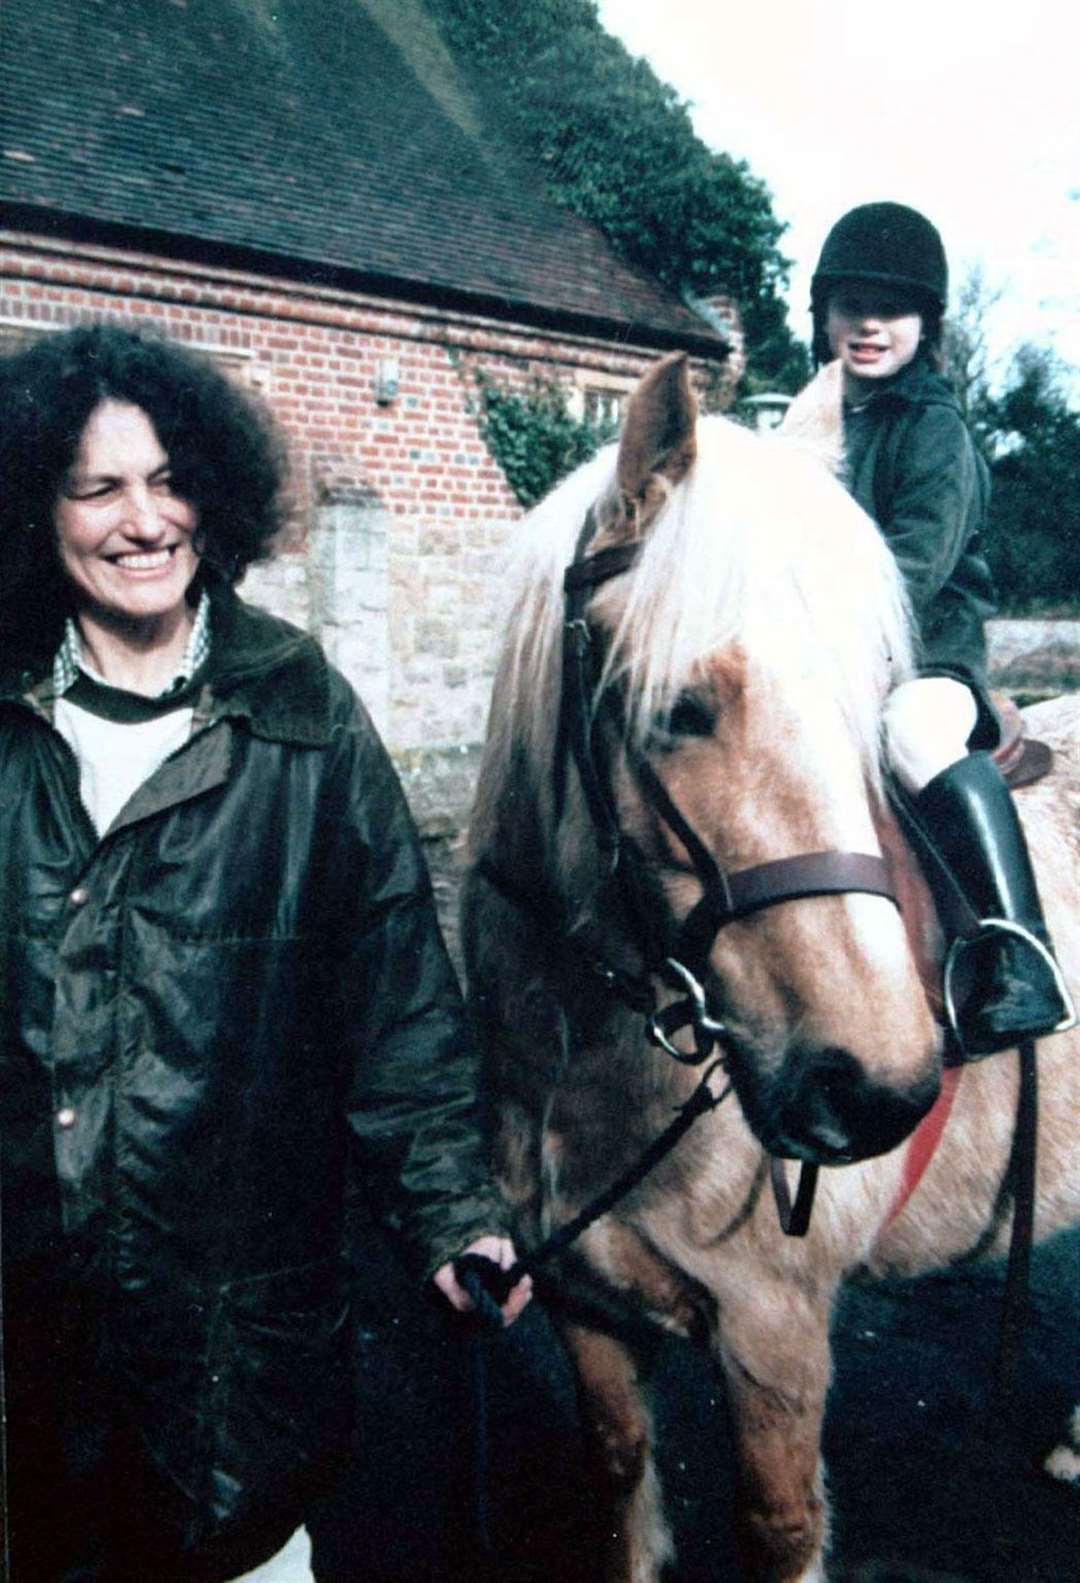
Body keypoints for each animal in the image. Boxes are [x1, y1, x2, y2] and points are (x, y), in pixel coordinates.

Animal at [462, 359, 1076, 1583]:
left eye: (866, 701)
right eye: (678, 708)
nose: (877, 1089)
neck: (587, 1070)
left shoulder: (774, 1336)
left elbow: (779, 1525)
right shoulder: (579, 1305)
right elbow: (621, 1472)